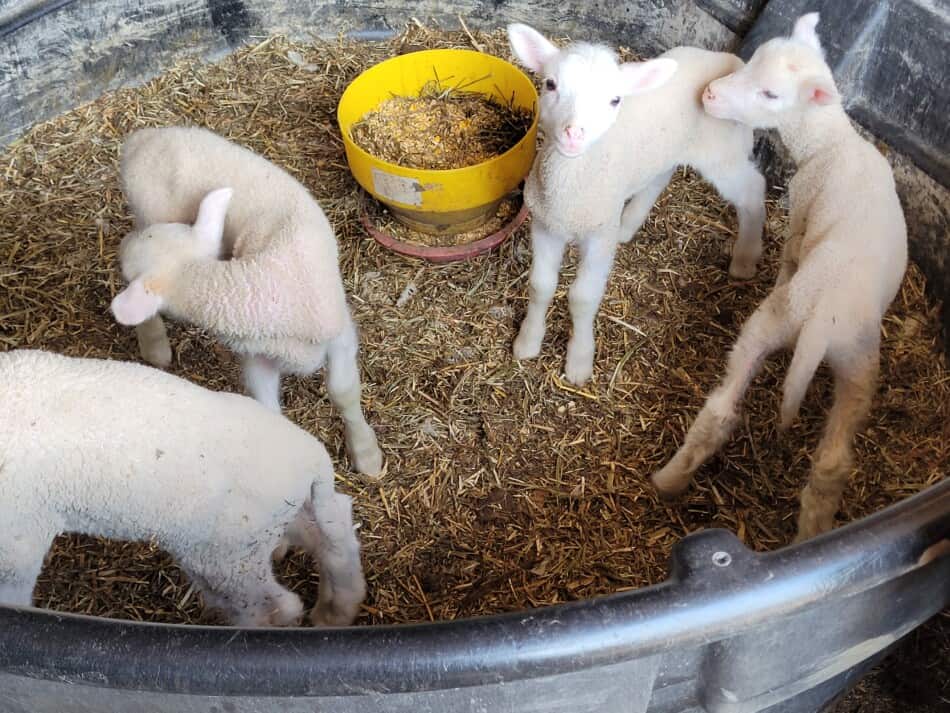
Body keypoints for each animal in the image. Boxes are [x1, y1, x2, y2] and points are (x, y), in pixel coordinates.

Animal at [0, 350, 366, 624]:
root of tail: (312, 459)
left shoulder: (17, 544)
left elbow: (14, 595)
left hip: (225, 552)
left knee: (276, 606)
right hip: (272, 521)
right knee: (334, 533)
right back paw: (336, 611)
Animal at [109, 126, 384, 478]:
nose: (123, 248)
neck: (252, 286)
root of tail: (141, 138)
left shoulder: (340, 334)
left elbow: (343, 391)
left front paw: (366, 454)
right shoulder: (256, 357)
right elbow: (268, 409)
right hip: (147, 211)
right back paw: (154, 346)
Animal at [510, 23, 768, 384]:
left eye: (615, 99)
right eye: (550, 84)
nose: (574, 133)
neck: (572, 193)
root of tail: (730, 61)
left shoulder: (599, 235)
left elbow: (583, 297)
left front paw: (579, 362)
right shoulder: (546, 225)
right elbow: (540, 286)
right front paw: (528, 342)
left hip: (722, 153)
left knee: (753, 189)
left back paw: (745, 258)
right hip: (668, 150)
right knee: (660, 178)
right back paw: (629, 224)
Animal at [652, 15, 912, 540]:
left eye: (771, 93)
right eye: (751, 62)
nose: (710, 95)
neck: (833, 143)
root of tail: (818, 327)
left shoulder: (799, 219)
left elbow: (788, 257)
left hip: (771, 322)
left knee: (720, 409)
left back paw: (668, 480)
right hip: (858, 363)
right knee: (831, 463)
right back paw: (813, 534)